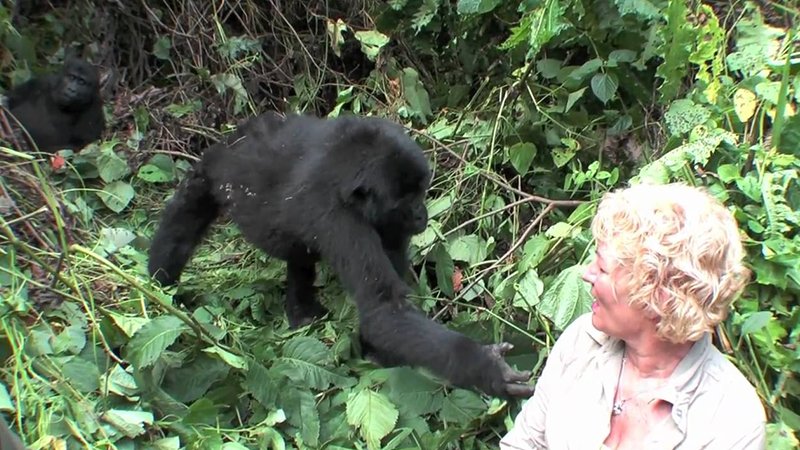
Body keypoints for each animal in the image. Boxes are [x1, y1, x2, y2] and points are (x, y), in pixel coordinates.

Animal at [147, 112, 534, 398]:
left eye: (422, 191)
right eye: (405, 201)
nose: (421, 215)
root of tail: (233, 137)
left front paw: (377, 352)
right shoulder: (339, 219)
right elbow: (384, 309)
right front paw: (485, 367)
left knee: (299, 255)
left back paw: (300, 310)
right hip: (210, 173)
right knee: (183, 221)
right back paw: (159, 289)